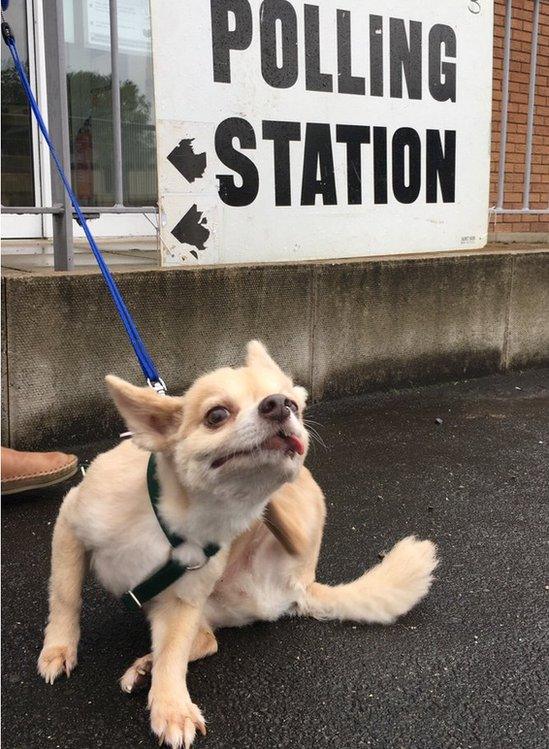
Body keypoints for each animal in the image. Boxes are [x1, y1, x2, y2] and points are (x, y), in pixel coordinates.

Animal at [38, 344, 438, 748]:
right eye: (216, 415)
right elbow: (67, 596)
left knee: (202, 642)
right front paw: (59, 647)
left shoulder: (181, 601)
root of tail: (304, 584)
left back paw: (148, 666)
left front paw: (171, 706)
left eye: (294, 405)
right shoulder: (70, 525)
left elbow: (173, 653)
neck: (179, 519)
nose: (279, 404)